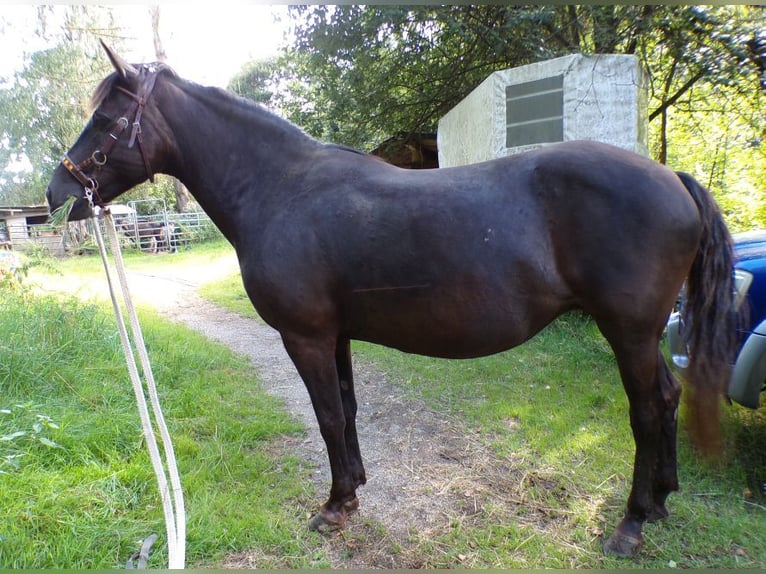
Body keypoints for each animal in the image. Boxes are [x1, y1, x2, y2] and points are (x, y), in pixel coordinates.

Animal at [46, 45, 736, 560]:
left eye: (108, 120)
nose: (59, 193)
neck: (280, 188)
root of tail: (673, 178)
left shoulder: (306, 336)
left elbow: (327, 416)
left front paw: (334, 508)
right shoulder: (337, 335)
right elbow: (347, 411)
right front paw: (352, 489)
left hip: (629, 331)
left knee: (646, 411)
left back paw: (631, 525)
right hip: (641, 334)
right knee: (667, 399)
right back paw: (662, 500)